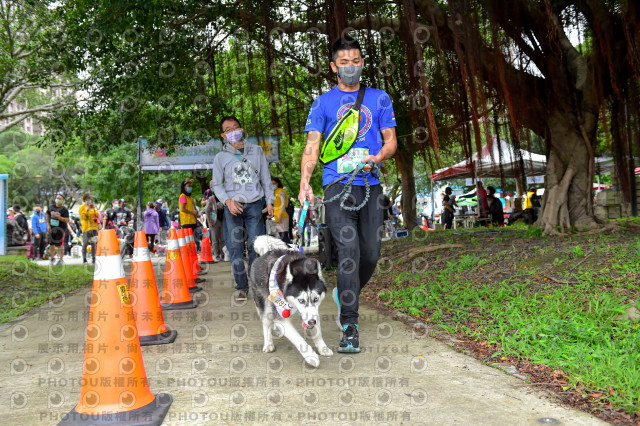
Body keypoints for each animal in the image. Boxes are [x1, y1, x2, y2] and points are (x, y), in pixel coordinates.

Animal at [249, 235, 332, 368]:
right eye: (301, 300)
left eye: (316, 299)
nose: (312, 322)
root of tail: (263, 254)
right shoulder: (281, 317)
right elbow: (298, 339)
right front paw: (311, 357)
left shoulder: (314, 312)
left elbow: (317, 332)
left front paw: (323, 348)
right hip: (265, 303)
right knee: (266, 321)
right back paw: (268, 344)